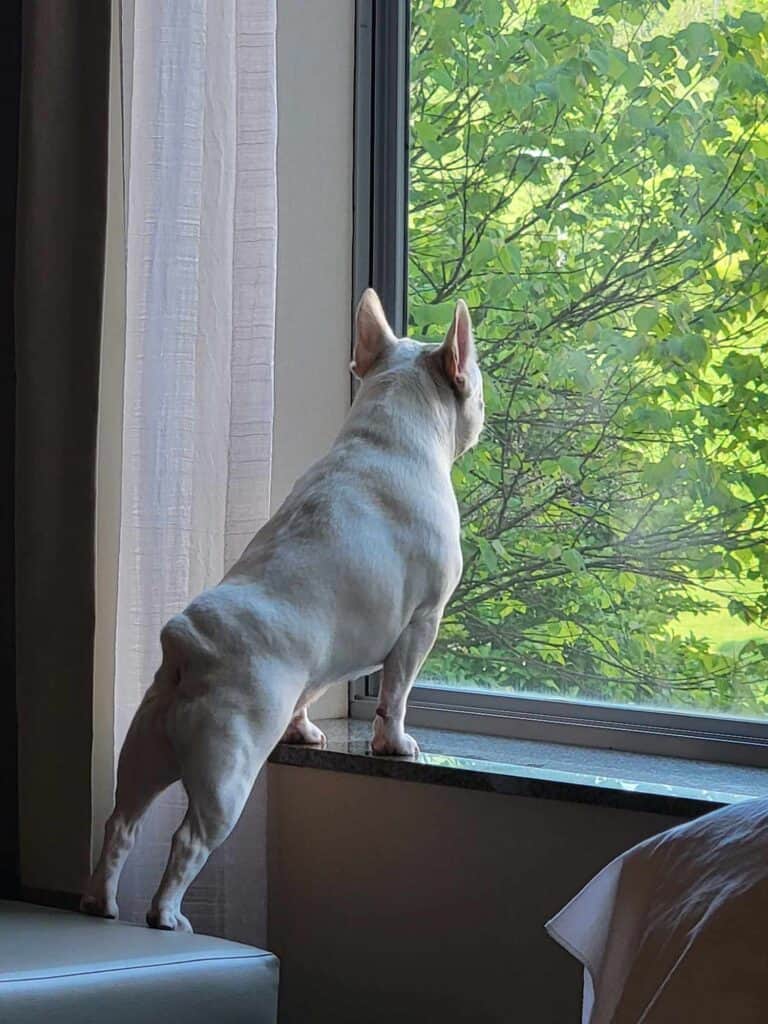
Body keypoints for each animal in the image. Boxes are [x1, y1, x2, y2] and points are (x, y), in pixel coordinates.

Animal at [81, 288, 483, 929]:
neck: (388, 435)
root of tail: (188, 650)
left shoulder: (321, 664)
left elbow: (308, 693)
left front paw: (305, 732)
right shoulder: (422, 622)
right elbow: (395, 694)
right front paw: (394, 744)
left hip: (144, 751)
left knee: (122, 822)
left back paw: (101, 900)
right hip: (227, 775)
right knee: (187, 840)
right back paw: (166, 915)